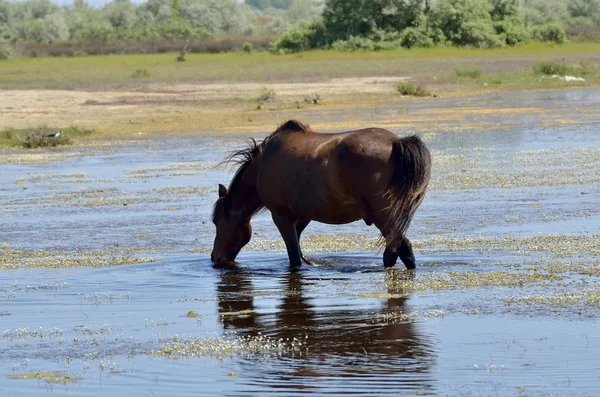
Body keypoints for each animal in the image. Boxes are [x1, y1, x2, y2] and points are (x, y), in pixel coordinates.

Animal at [211, 120, 432, 270]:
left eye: (216, 221)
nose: (215, 257)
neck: (262, 165)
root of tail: (397, 142)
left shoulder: (281, 216)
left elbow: (294, 258)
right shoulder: (302, 217)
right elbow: (299, 252)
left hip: (382, 216)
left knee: (403, 249)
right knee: (394, 253)